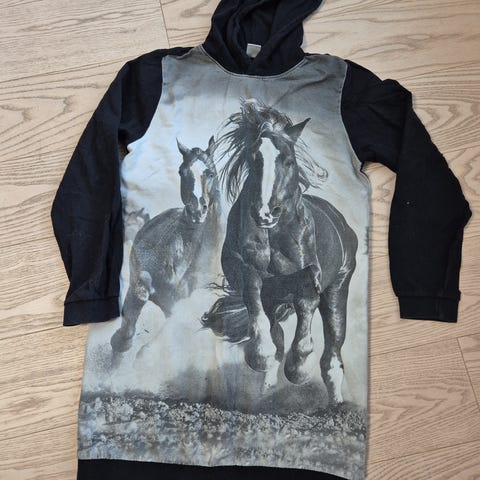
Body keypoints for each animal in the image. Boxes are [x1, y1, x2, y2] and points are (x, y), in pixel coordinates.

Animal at [202, 99, 358, 405]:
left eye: (289, 161)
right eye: (254, 159)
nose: (266, 213)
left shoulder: (309, 280)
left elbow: (306, 316)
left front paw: (298, 369)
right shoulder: (248, 273)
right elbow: (257, 312)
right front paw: (262, 357)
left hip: (338, 287)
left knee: (333, 351)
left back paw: (335, 402)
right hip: (276, 298)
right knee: (276, 331)